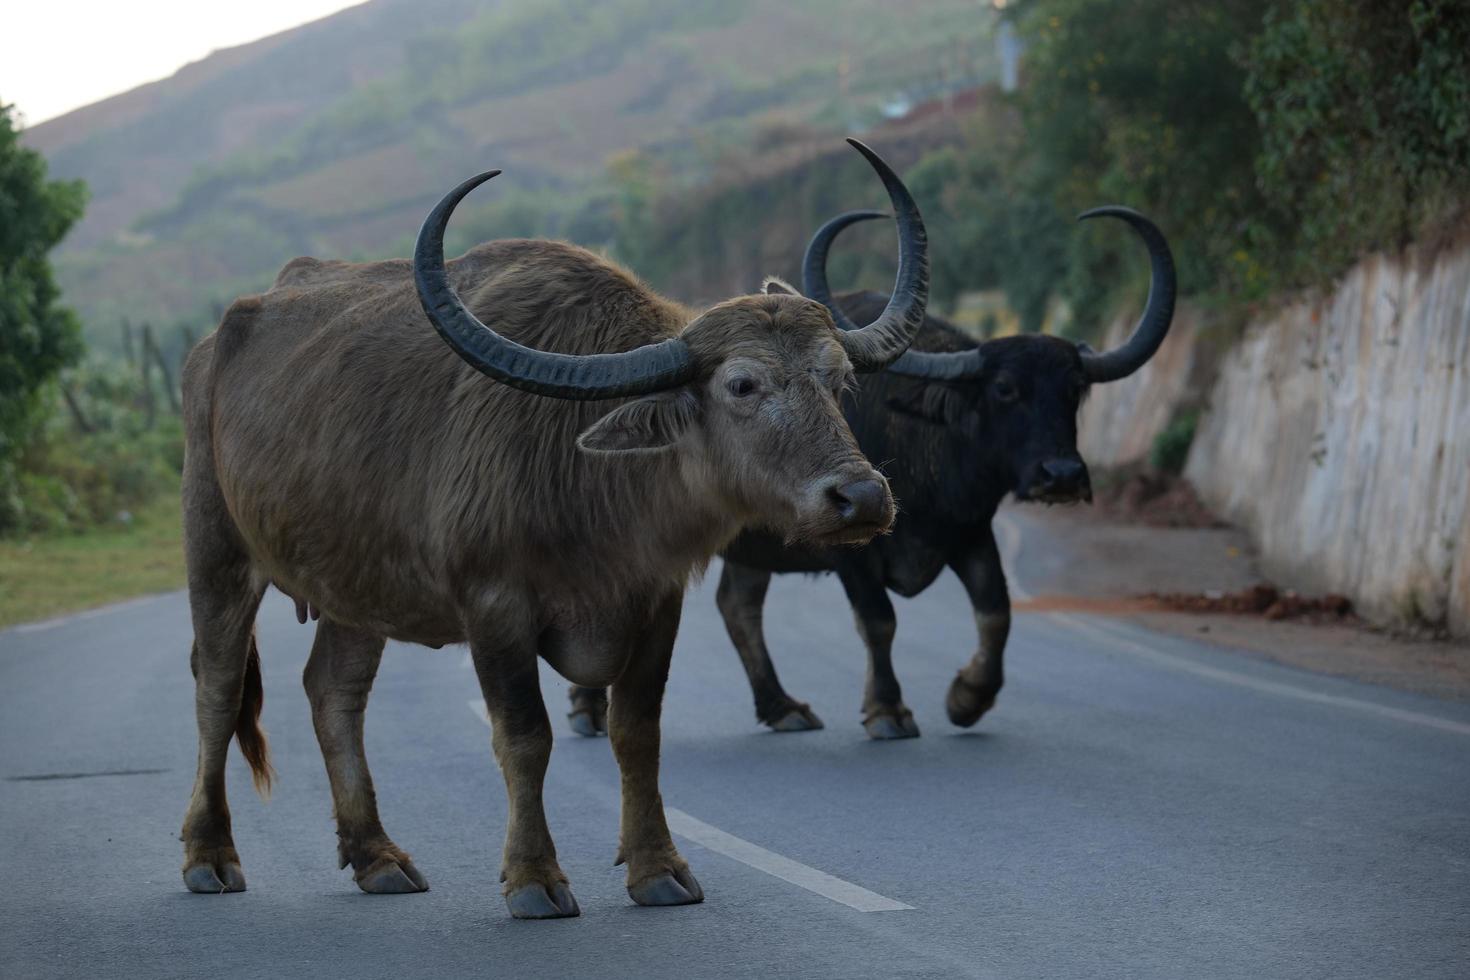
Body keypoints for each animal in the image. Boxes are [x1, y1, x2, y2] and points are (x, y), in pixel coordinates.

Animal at [177, 139, 923, 922]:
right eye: (742, 385)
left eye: (838, 379)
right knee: (217, 687)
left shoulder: (656, 604)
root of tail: (214, 347)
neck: (590, 483)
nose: (861, 497)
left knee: (332, 692)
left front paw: (658, 868)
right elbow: (526, 736)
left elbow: (637, 732)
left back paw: (376, 855)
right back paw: (210, 856)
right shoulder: (495, 608)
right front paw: (534, 877)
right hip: (217, 551)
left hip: (356, 589)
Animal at [567, 208, 1176, 743]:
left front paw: (968, 698)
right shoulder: (850, 548)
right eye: (1005, 389)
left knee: (737, 606)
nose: (1062, 474)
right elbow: (879, 620)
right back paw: (588, 711)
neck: (920, 431)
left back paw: (781, 706)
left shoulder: (970, 531)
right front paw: (888, 711)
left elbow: (996, 612)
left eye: (1075, 389)